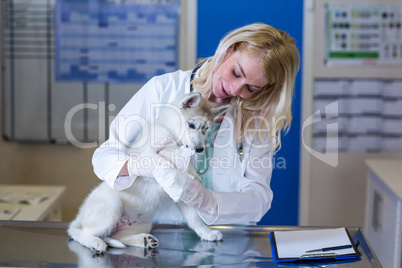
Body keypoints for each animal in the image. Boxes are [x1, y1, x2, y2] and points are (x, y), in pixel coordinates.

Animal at [67, 92, 228, 253]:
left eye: (206, 129)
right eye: (192, 125)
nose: (200, 149)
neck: (168, 128)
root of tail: (80, 215)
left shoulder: (182, 196)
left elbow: (194, 217)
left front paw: (207, 232)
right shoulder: (161, 146)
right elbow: (177, 156)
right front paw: (194, 175)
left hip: (142, 223)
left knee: (118, 236)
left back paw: (145, 240)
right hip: (112, 205)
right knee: (84, 233)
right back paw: (95, 242)